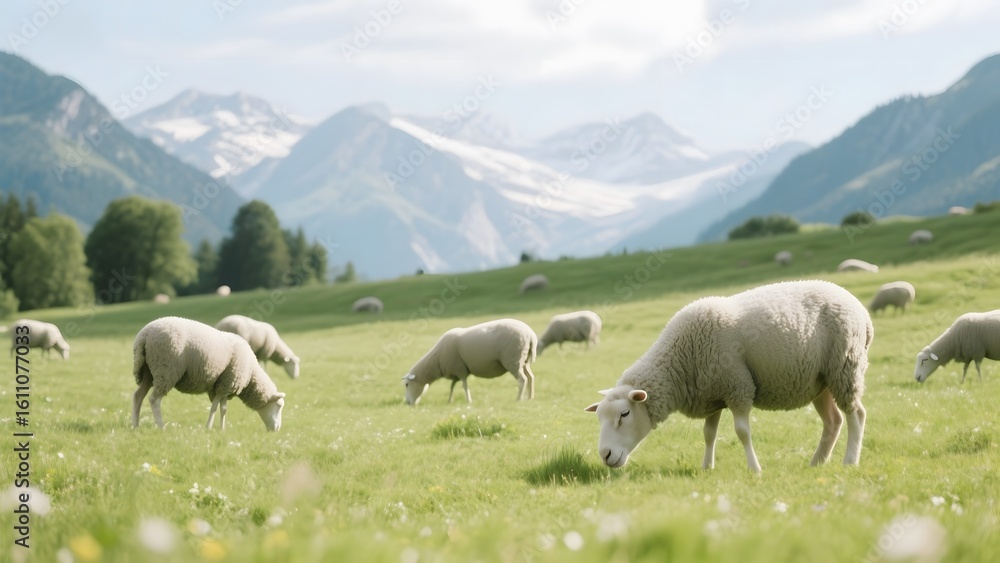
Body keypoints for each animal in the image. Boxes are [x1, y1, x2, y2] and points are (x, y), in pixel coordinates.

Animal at [132, 316, 286, 431]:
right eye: (279, 406)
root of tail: (145, 335)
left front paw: (222, 429)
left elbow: (223, 408)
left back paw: (135, 426)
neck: (251, 375)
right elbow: (215, 407)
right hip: (166, 369)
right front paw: (209, 427)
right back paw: (161, 427)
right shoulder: (226, 383)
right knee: (154, 399)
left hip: (147, 371)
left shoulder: (222, 386)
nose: (277, 429)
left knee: (138, 396)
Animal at [403, 318, 537, 405]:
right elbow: (452, 386)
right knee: (530, 377)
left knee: (522, 379)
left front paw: (468, 401)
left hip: (513, 361)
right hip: (524, 361)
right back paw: (530, 397)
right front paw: (449, 401)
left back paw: (518, 399)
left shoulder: (460, 370)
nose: (407, 403)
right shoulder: (456, 373)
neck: (436, 361)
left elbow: (464, 386)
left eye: (406, 384)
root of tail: (530, 334)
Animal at [584, 280, 872, 474]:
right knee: (833, 421)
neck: (681, 359)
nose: (605, 455)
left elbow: (742, 432)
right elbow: (708, 434)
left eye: (624, 414)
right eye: (599, 418)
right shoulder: (712, 394)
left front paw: (755, 469)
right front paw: (707, 467)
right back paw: (817, 463)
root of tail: (862, 311)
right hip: (820, 381)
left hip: (845, 366)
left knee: (856, 414)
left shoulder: (738, 387)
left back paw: (850, 461)